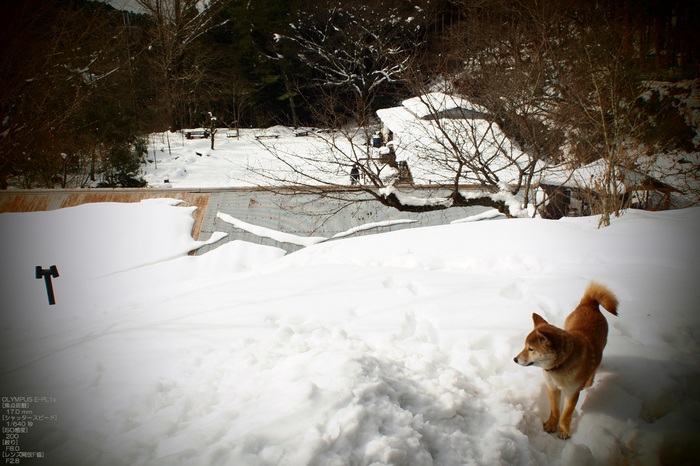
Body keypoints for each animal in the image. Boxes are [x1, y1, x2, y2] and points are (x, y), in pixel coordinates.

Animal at [516, 282, 616, 438]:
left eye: (531, 349)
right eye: (525, 346)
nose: (515, 359)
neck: (559, 366)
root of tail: (589, 304)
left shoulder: (572, 393)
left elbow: (566, 414)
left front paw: (563, 431)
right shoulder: (552, 388)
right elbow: (555, 410)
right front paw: (551, 425)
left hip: (601, 348)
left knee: (594, 367)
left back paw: (588, 382)